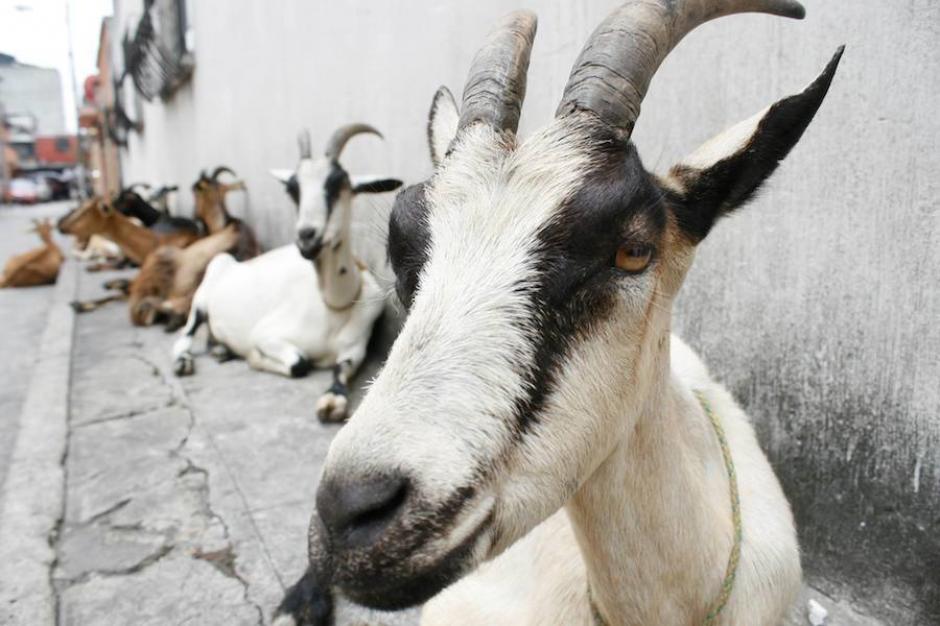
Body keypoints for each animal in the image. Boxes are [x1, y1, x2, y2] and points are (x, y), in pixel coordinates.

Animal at [172, 125, 402, 421]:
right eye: (293, 190)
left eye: (337, 184)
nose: (306, 237)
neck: (335, 302)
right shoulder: (266, 334)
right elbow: (298, 363)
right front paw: (255, 359)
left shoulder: (354, 349)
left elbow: (341, 369)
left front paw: (332, 400)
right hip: (202, 297)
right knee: (185, 335)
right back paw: (184, 361)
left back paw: (221, 350)